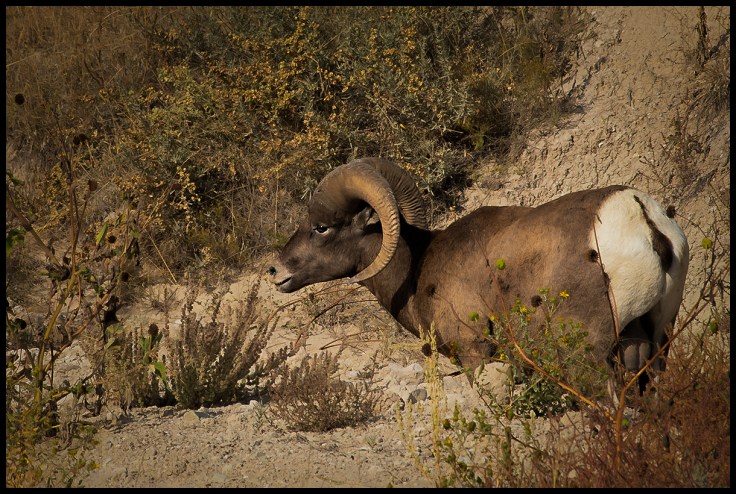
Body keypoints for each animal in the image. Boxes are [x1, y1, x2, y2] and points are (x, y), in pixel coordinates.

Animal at [268, 157, 689, 392]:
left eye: (321, 228)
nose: (275, 271)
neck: (421, 265)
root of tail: (643, 220)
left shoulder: (475, 355)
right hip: (654, 346)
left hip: (589, 356)